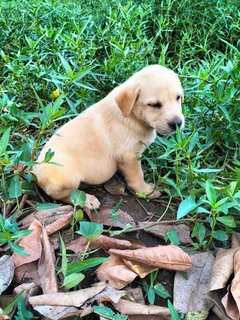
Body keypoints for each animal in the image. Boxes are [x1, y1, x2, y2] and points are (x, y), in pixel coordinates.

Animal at [32, 65, 185, 210]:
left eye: (178, 97)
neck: (132, 116)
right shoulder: (129, 157)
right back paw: (87, 200)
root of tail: (34, 172)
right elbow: (137, 176)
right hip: (67, 177)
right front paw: (146, 191)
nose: (177, 123)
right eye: (154, 105)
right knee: (63, 195)